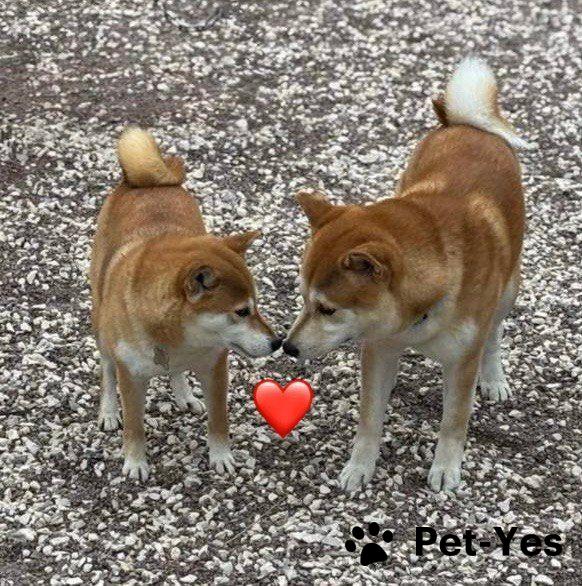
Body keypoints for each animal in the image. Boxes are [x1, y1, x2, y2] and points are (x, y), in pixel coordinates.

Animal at [90, 128, 280, 481]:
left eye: (256, 305)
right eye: (241, 311)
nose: (277, 342)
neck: (177, 338)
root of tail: (148, 183)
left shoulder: (215, 368)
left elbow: (219, 421)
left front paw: (221, 456)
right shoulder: (131, 378)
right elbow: (135, 427)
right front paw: (135, 462)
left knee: (176, 371)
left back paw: (184, 394)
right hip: (101, 325)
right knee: (107, 368)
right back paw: (108, 410)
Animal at [283, 57, 530, 491]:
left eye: (328, 309)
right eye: (303, 301)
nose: (287, 347)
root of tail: (465, 125)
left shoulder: (461, 362)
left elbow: (453, 421)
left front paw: (446, 467)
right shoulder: (379, 348)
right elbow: (369, 418)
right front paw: (360, 466)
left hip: (507, 291)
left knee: (495, 333)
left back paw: (494, 375)